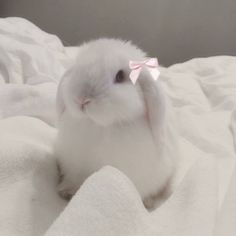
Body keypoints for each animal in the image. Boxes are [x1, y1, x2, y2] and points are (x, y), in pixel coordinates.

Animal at [54, 39, 177, 210]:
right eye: (78, 68)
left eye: (120, 76)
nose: (82, 99)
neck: (100, 126)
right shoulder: (74, 167)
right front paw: (67, 191)